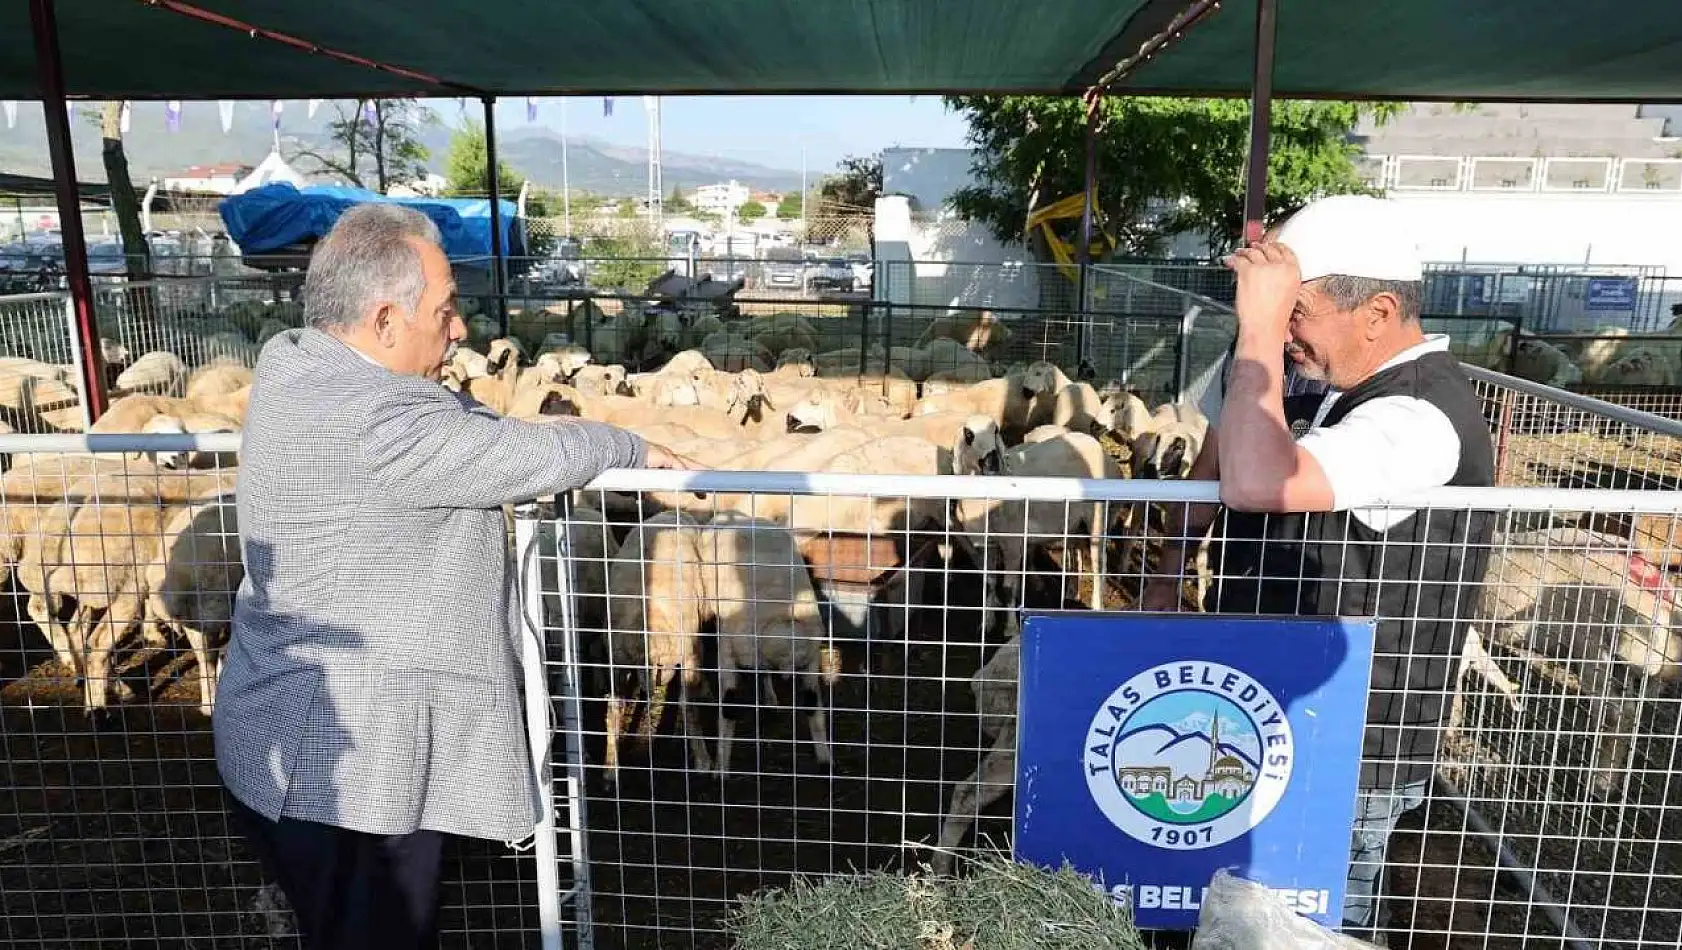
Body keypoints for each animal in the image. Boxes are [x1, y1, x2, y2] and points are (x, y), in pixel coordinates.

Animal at [696, 514, 841, 773]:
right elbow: (729, 705)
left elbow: (812, 703)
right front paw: (721, 768)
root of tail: (728, 515)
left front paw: (826, 759)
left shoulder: (811, 658)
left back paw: (771, 699)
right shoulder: (728, 650)